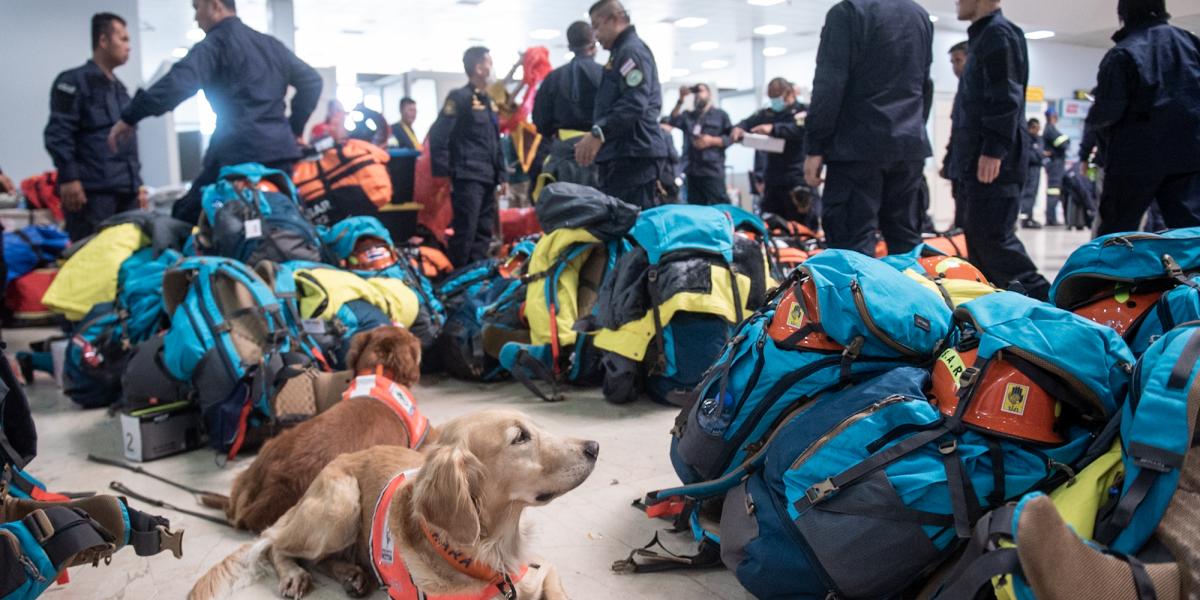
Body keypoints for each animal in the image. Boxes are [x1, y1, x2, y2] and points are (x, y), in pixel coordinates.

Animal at [189, 408, 597, 600]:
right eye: (520, 438)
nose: (594, 447)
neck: (484, 558)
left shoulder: (540, 571)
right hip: (340, 505)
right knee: (277, 544)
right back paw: (295, 574)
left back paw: (352, 574)